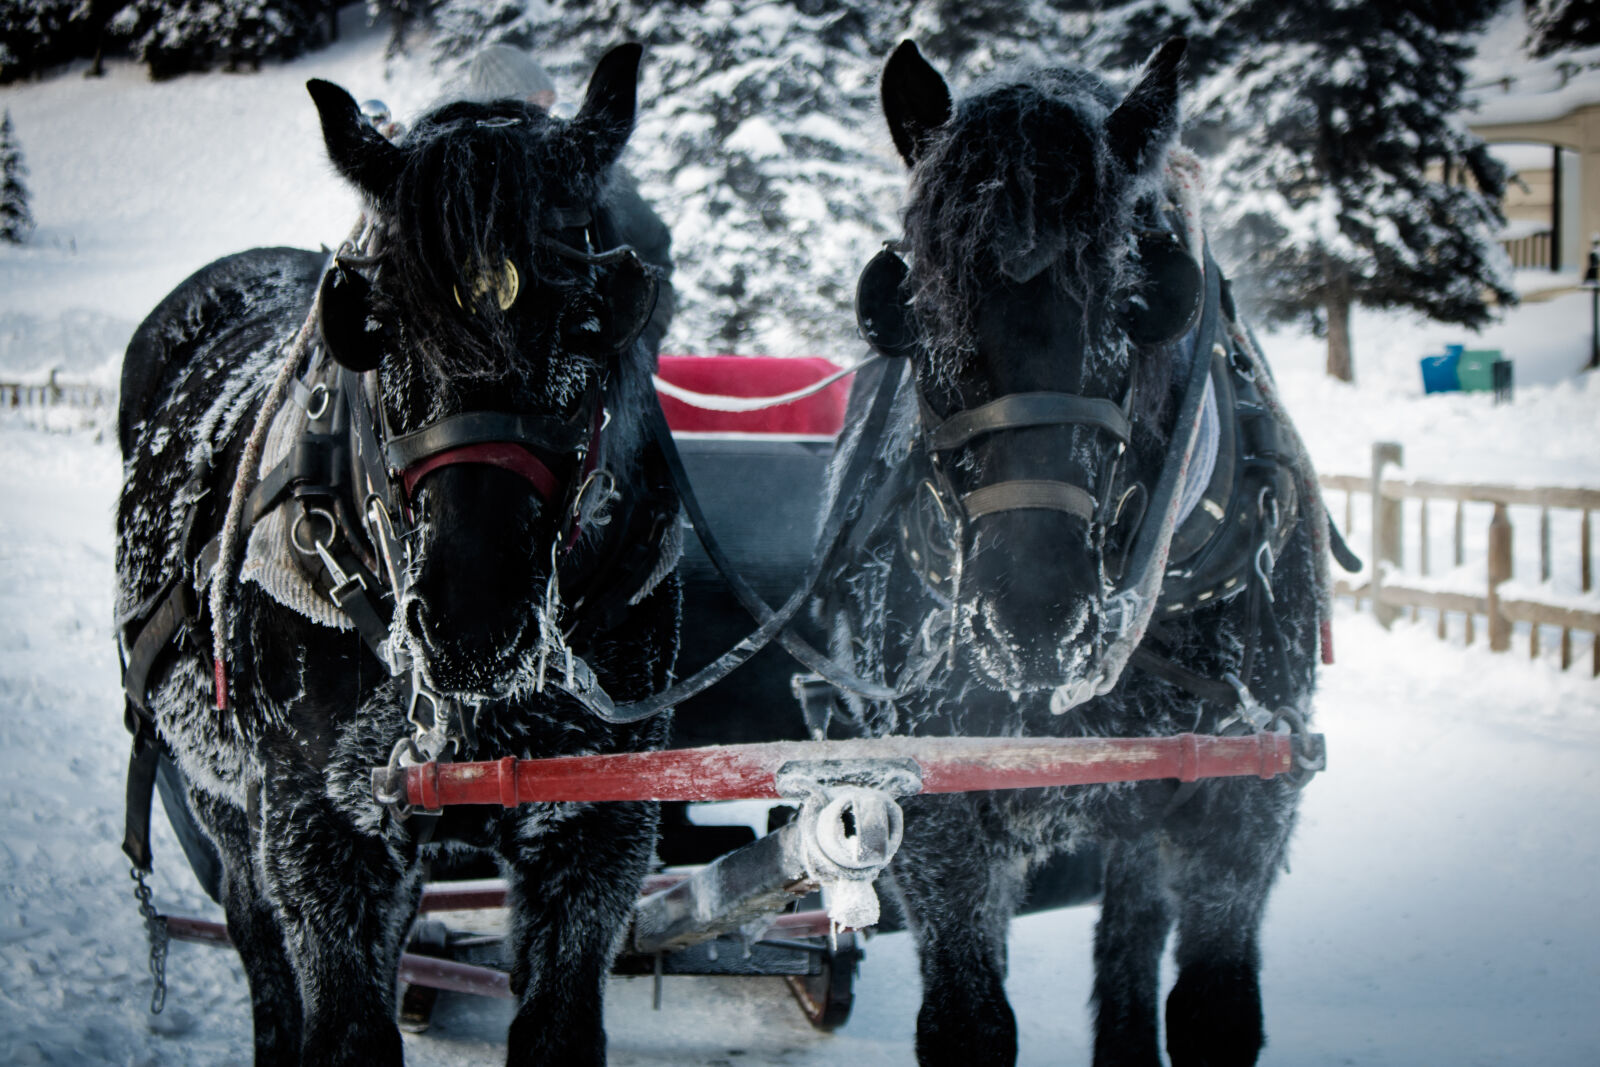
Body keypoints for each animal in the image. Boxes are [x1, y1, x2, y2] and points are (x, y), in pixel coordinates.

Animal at [116, 45, 678, 1062]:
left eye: (593, 319)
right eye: (374, 326)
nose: (472, 622)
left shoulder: (599, 825)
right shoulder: (317, 830)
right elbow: (339, 1022)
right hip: (223, 799)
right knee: (258, 945)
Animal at [825, 37, 1324, 1062]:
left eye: (1144, 299)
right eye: (913, 303)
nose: (1033, 621)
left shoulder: (1247, 803)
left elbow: (1212, 1009)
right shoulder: (940, 812)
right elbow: (969, 1021)